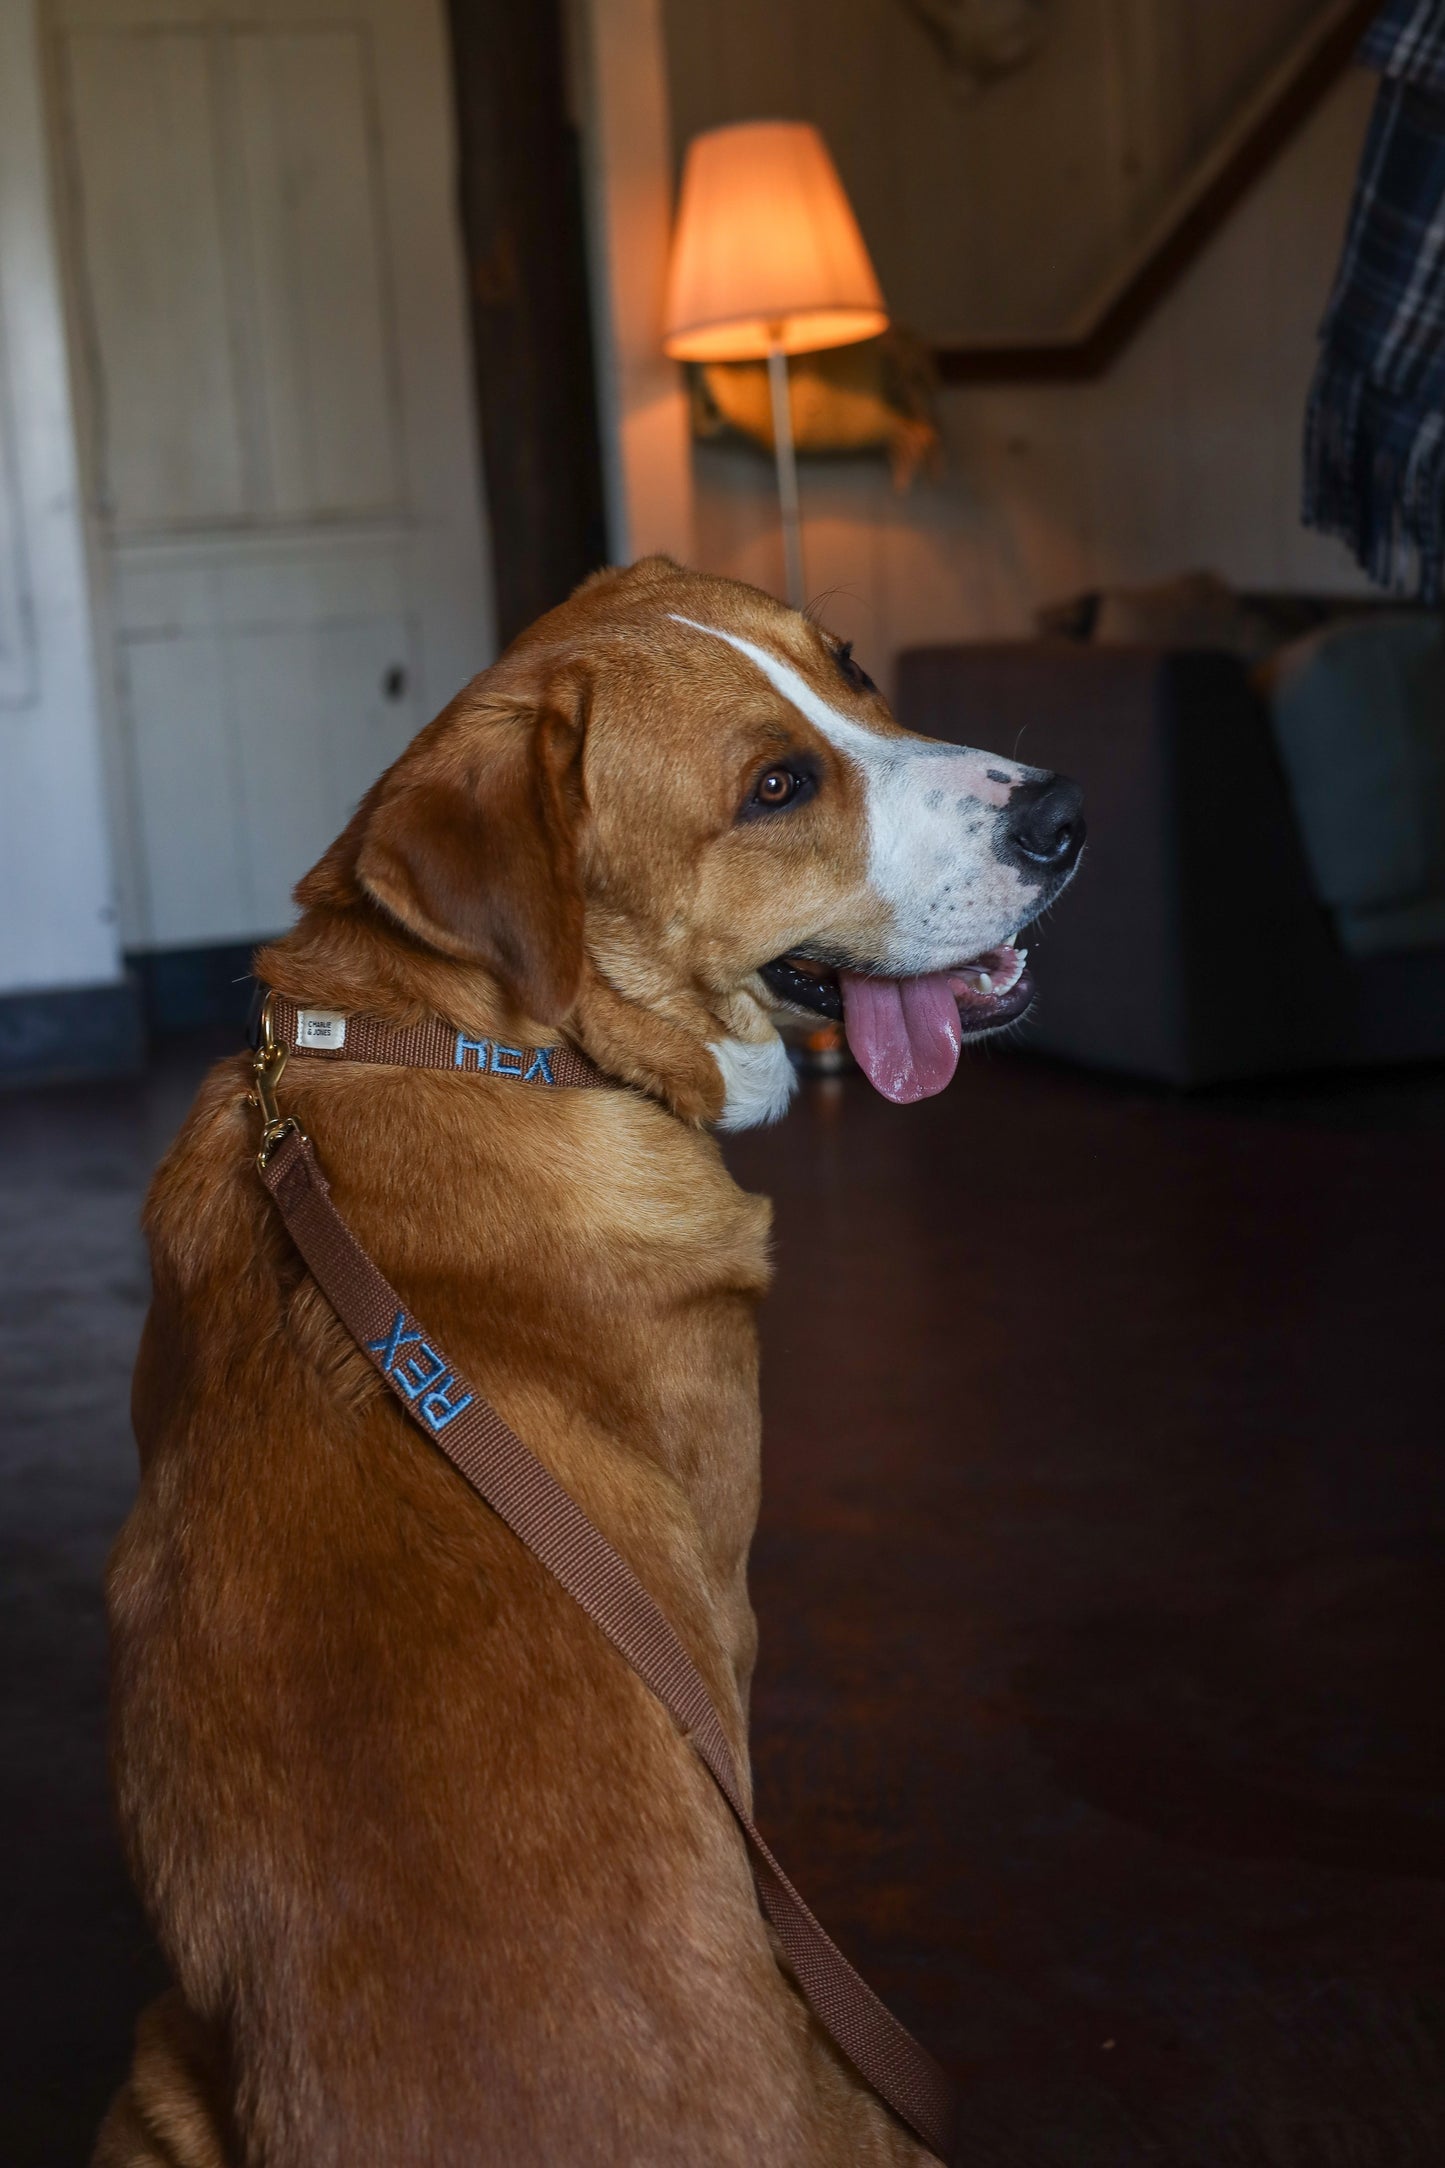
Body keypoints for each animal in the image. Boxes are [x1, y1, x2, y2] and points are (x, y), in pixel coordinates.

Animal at [93, 563, 1083, 2168]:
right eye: (775, 786)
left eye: (852, 666)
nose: (1064, 810)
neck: (462, 1034)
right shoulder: (723, 1616)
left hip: (156, 2081)